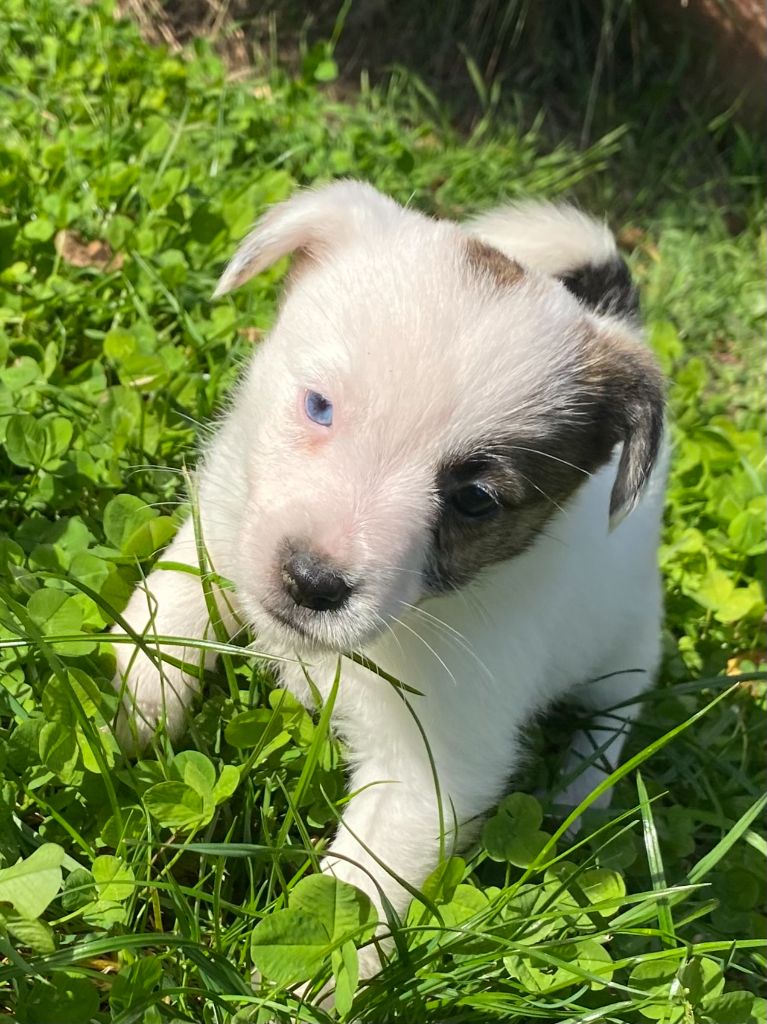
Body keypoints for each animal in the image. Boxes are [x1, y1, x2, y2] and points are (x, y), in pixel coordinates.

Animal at [112, 180, 663, 970]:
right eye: (319, 406)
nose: (310, 582)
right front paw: (143, 704)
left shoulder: (432, 769)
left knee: (611, 722)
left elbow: (363, 881)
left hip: (627, 650)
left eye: (474, 498)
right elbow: (178, 594)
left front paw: (320, 974)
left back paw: (579, 793)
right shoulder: (224, 517)